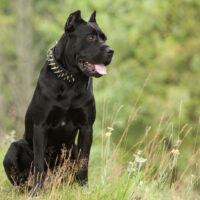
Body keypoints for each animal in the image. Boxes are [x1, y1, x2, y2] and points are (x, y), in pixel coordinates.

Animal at [3, 10, 113, 195]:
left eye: (104, 38)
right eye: (90, 37)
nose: (111, 51)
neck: (70, 80)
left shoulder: (86, 127)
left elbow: (84, 162)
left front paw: (84, 189)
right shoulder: (41, 126)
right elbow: (39, 164)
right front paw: (37, 191)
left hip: (73, 147)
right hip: (14, 148)